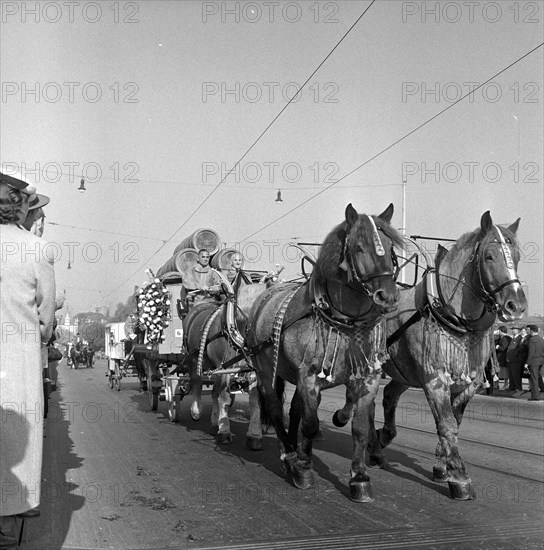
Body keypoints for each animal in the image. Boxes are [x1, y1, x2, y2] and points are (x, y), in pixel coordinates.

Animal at [248, 204, 404, 504]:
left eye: (390, 247)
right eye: (358, 248)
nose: (388, 296)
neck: (344, 321)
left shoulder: (368, 378)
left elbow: (360, 427)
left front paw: (359, 478)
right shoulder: (308, 377)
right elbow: (309, 424)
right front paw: (304, 469)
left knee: (294, 410)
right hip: (264, 369)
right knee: (274, 408)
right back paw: (289, 454)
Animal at [362, 211, 528, 500]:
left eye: (516, 256)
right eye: (489, 256)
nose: (516, 306)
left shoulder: (471, 381)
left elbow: (455, 420)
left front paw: (443, 465)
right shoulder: (434, 378)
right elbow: (447, 423)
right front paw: (460, 478)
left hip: (404, 372)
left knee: (389, 396)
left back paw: (383, 438)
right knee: (369, 402)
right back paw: (373, 446)